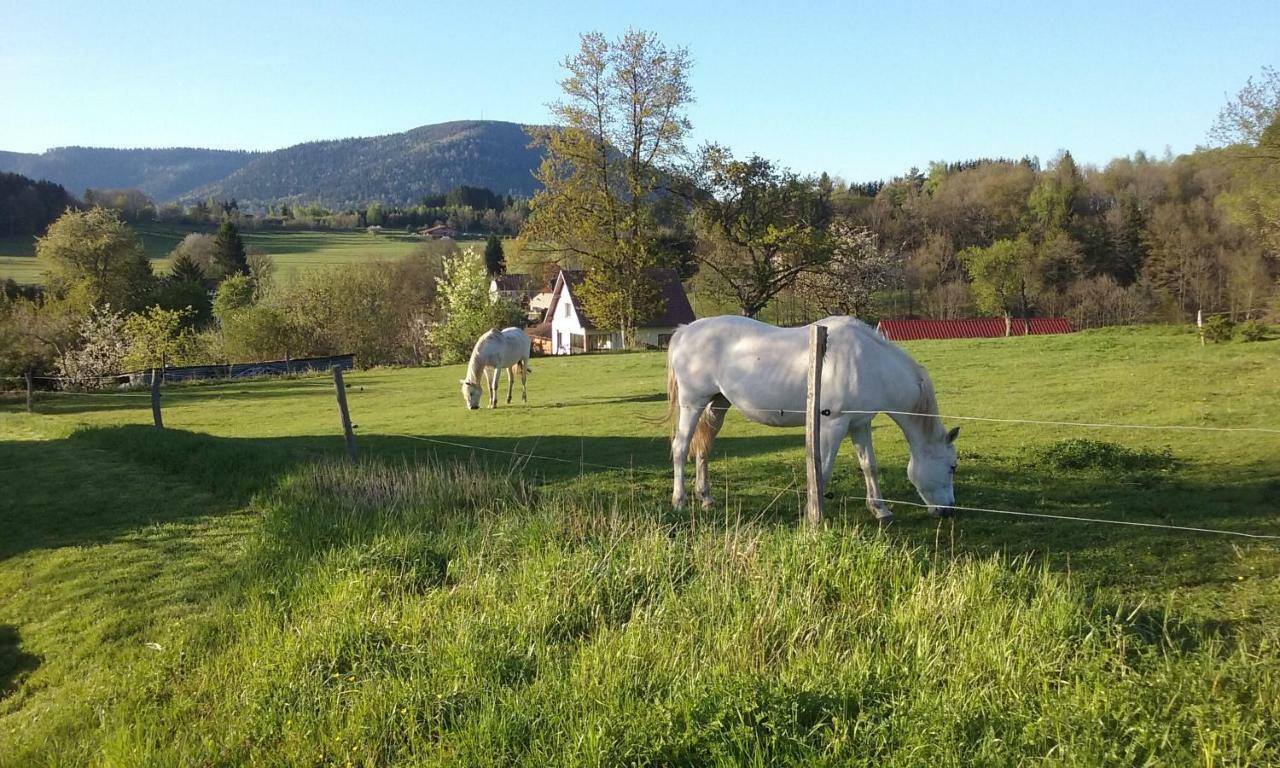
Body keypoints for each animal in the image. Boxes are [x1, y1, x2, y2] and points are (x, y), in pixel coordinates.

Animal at [665, 314, 957, 519]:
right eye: (953, 466)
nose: (949, 510)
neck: (868, 362)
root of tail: (685, 331)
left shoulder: (860, 425)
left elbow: (869, 466)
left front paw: (880, 510)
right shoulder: (833, 425)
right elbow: (822, 470)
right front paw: (812, 515)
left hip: (717, 405)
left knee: (704, 449)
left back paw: (706, 498)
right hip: (692, 403)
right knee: (680, 448)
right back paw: (679, 501)